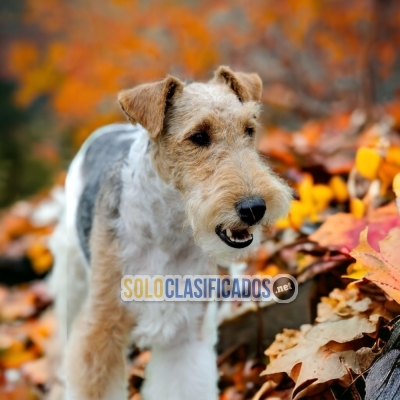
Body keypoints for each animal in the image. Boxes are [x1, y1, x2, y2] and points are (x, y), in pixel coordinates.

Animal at [50, 66, 290, 400]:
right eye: (199, 136)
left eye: (249, 130)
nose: (254, 207)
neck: (168, 230)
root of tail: (107, 131)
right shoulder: (100, 334)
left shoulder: (186, 333)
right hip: (73, 280)